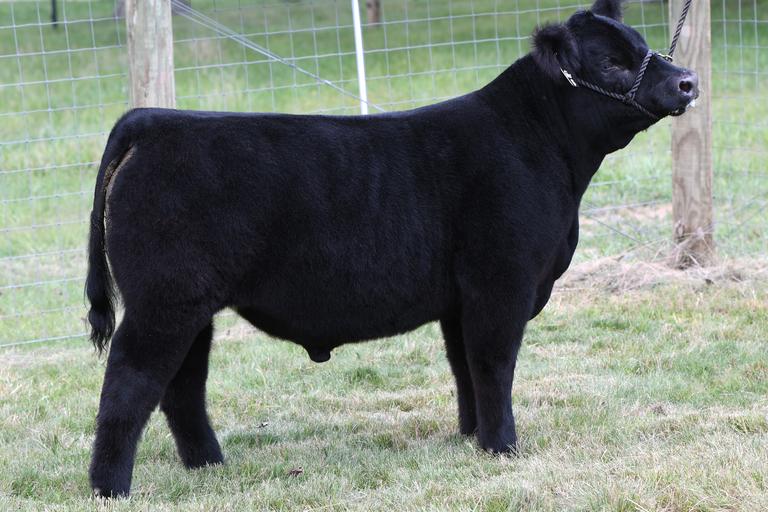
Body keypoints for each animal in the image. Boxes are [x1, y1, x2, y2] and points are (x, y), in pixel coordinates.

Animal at [84, 0, 698, 497]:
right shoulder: (501, 282)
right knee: (130, 383)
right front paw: (502, 447)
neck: (543, 147)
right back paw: (111, 488)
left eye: (643, 45)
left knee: (183, 386)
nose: (688, 82)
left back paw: (209, 465)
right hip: (164, 302)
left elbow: (464, 366)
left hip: (192, 306)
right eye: (612, 63)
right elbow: (494, 363)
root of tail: (155, 120)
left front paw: (470, 436)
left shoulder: (460, 299)